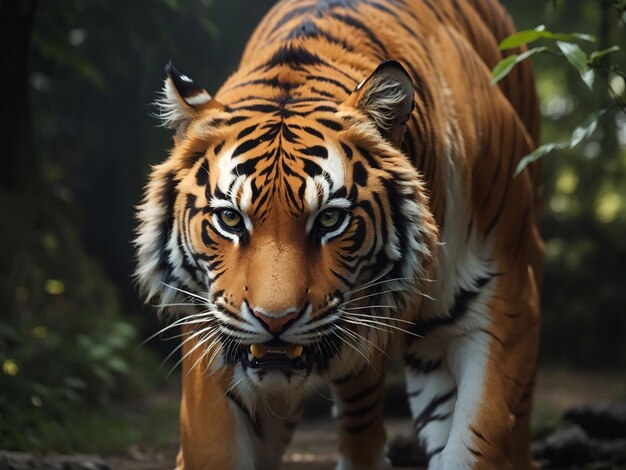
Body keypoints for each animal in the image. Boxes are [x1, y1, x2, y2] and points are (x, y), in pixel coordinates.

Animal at [135, 1, 540, 468]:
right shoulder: (211, 339)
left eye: (329, 220)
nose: (275, 321)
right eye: (231, 220)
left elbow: (478, 439)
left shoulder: (504, 301)